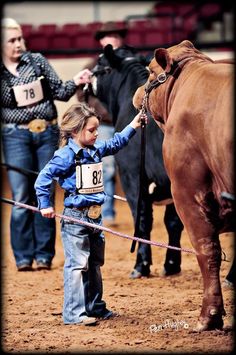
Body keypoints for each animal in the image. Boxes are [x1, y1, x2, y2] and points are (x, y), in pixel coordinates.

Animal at [91, 44, 183, 280]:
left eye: (100, 64)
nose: (86, 78)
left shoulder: (132, 178)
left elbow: (142, 221)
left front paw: (141, 265)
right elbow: (173, 222)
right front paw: (171, 265)